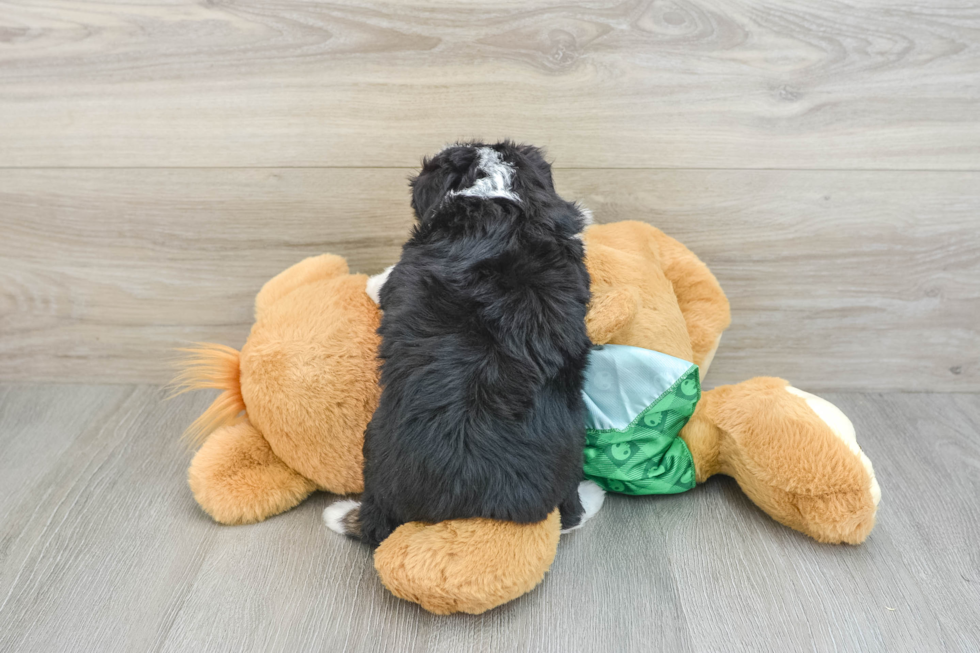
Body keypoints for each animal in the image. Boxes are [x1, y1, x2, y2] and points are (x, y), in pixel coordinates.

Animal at [326, 141, 596, 544]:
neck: (499, 193)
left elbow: (384, 284)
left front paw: (370, 281)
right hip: (571, 451)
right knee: (571, 515)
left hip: (375, 448)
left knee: (374, 523)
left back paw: (339, 513)